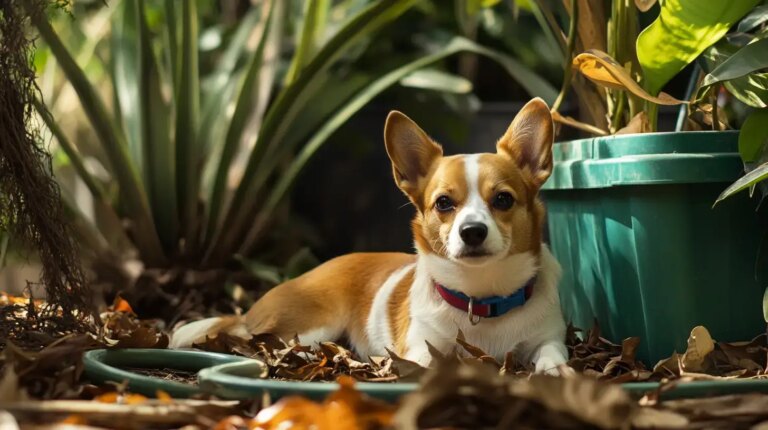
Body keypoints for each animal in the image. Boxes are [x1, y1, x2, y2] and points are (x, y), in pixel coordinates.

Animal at [171, 99, 568, 374]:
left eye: (503, 199)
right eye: (443, 203)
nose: (472, 231)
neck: (481, 296)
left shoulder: (547, 336)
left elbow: (552, 351)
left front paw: (556, 369)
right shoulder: (420, 348)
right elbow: (427, 361)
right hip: (307, 328)